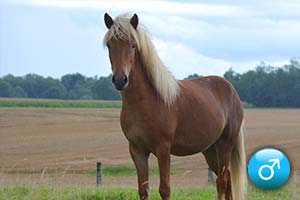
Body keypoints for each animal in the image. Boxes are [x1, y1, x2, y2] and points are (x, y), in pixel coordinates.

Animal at [102, 13, 246, 199]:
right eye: (109, 45)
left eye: (133, 45)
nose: (120, 80)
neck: (146, 102)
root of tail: (232, 91)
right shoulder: (137, 151)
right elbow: (143, 190)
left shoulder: (163, 150)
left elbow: (165, 189)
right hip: (210, 149)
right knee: (226, 180)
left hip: (225, 144)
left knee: (222, 181)